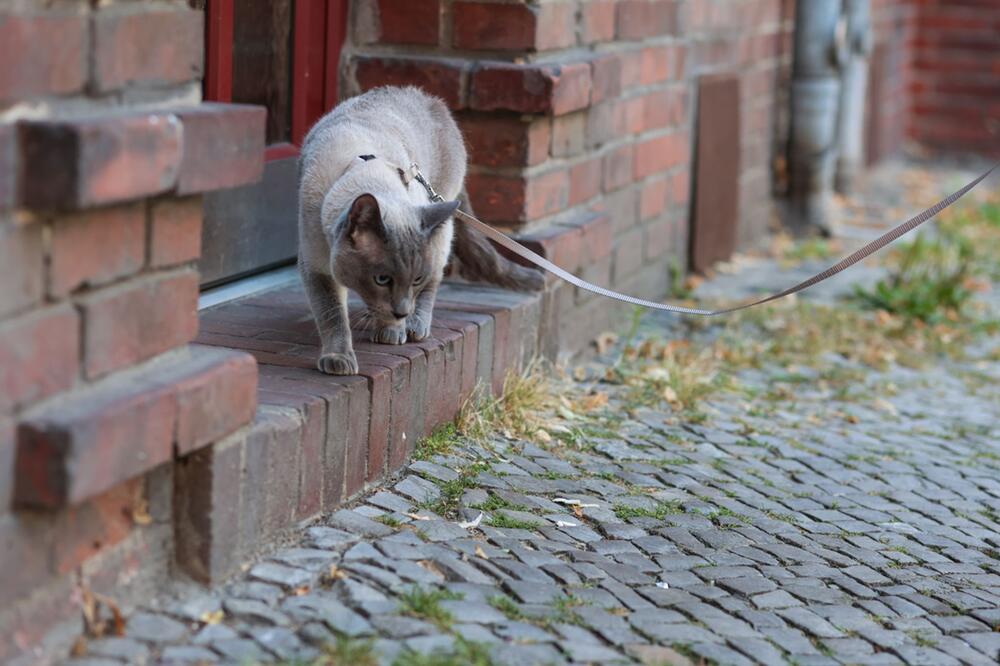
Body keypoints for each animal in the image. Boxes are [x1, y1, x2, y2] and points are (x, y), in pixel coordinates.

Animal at [296, 86, 544, 374]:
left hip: (441, 219)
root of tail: (428, 97)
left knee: (435, 278)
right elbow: (332, 315)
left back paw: (415, 327)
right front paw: (339, 360)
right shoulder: (317, 267)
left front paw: (393, 331)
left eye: (415, 279)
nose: (401, 312)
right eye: (382, 279)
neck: (360, 168)